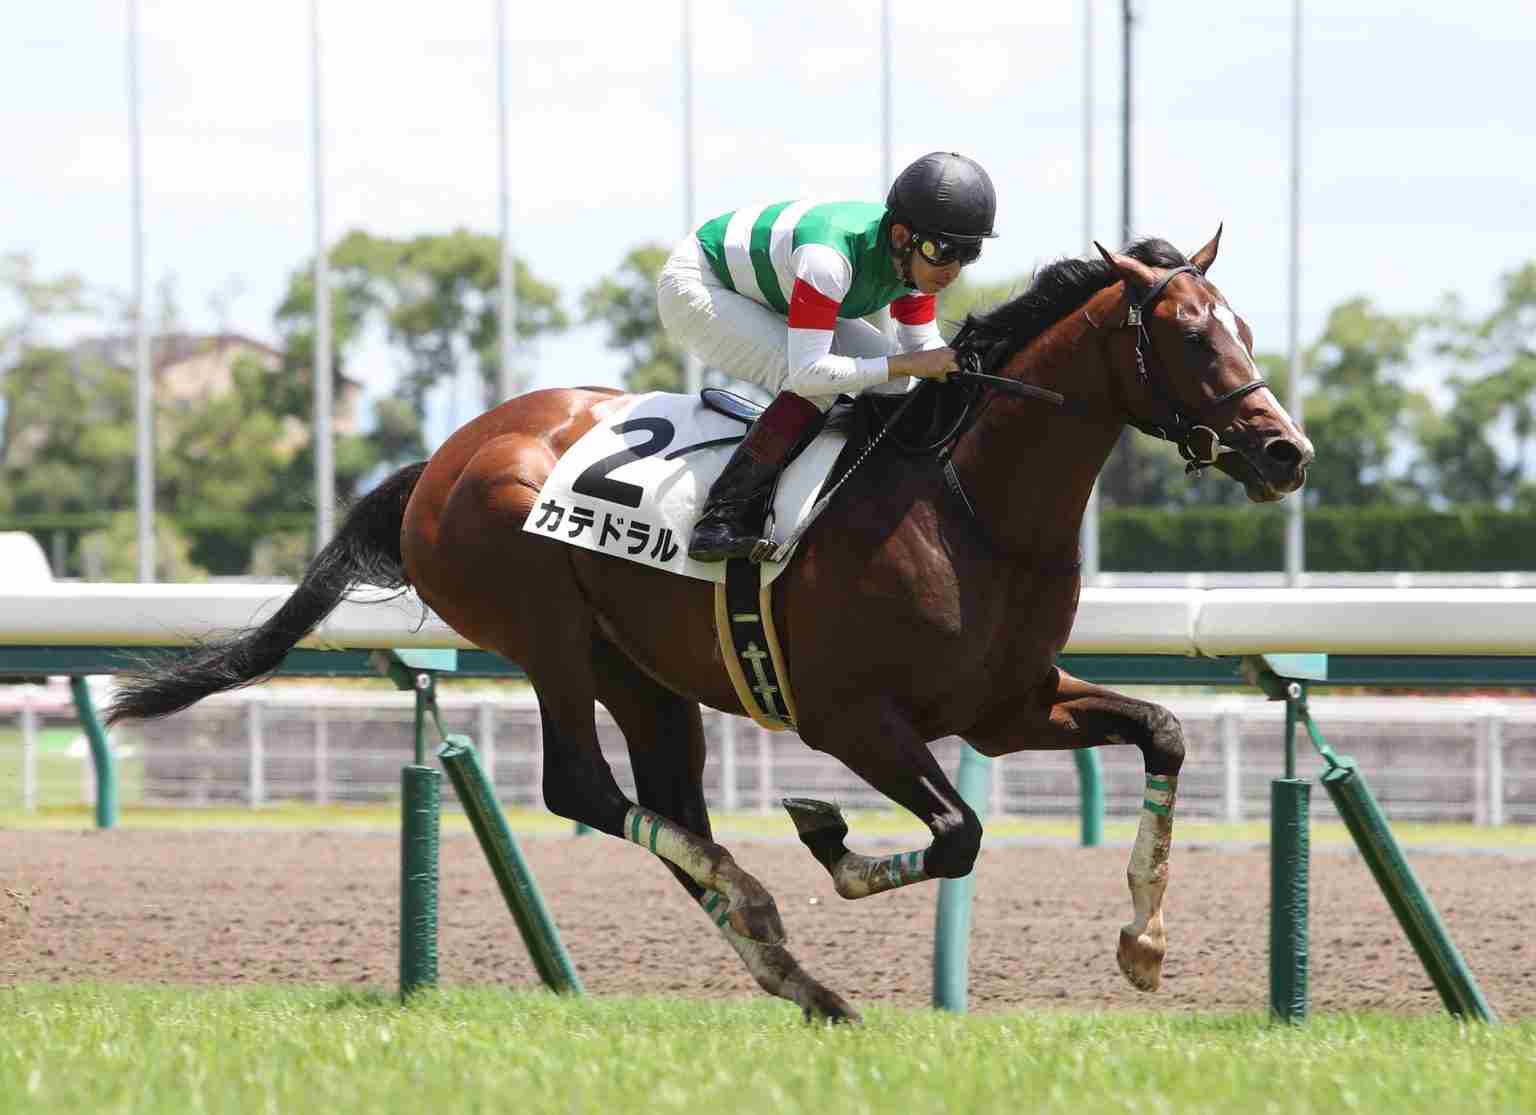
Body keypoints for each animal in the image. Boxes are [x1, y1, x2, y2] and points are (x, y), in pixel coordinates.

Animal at [108, 231, 1313, 1022]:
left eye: (1247, 328)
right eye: (1193, 336)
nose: (1285, 450)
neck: (968, 503)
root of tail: (440, 460)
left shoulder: (1009, 707)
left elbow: (1161, 733)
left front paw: (1144, 940)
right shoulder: (849, 717)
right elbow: (959, 831)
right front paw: (827, 841)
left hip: (642, 671)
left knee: (666, 801)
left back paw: (799, 975)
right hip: (545, 630)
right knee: (584, 789)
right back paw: (763, 905)